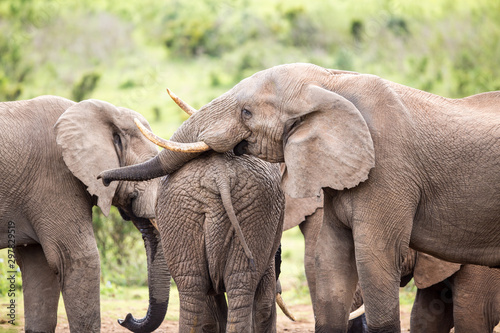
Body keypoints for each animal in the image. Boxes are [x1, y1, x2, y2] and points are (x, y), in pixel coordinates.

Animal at [98, 61, 500, 330]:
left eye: (247, 112)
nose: (102, 178)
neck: (331, 82)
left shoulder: (389, 171)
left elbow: (373, 258)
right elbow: (330, 260)